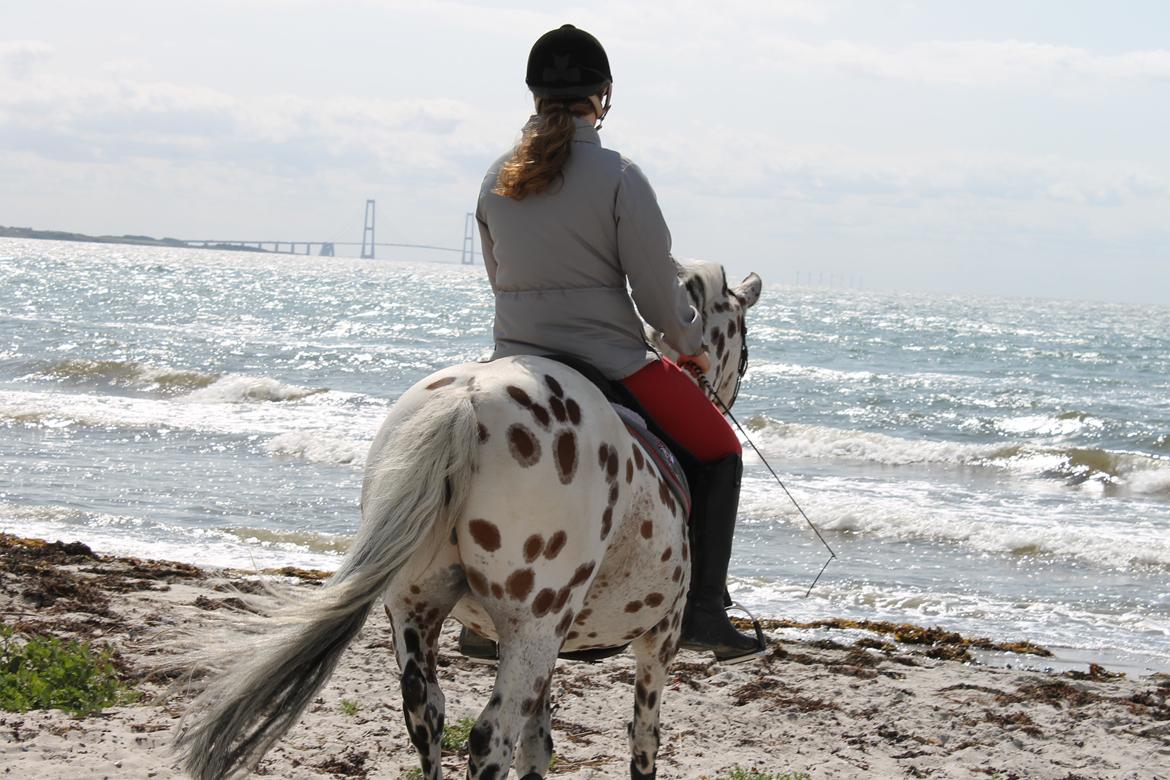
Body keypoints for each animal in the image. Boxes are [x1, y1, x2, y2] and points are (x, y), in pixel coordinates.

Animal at [170, 261, 758, 780]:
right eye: (744, 340)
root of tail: (467, 399)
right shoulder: (659, 639)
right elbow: (642, 742)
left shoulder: (555, 648)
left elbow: (538, 746)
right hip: (531, 625)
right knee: (489, 737)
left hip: (419, 607)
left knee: (427, 715)